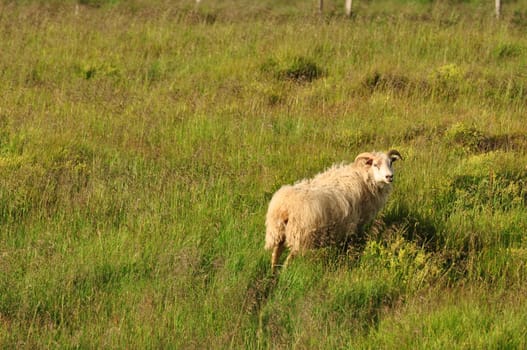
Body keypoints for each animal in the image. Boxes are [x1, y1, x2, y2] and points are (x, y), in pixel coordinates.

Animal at [264, 149, 404, 272]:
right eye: (375, 164)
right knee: (288, 259)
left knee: (275, 255)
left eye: (390, 163)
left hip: (278, 232)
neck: (363, 178)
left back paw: (273, 273)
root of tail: (284, 208)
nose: (389, 176)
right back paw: (284, 273)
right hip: (300, 236)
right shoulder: (356, 224)